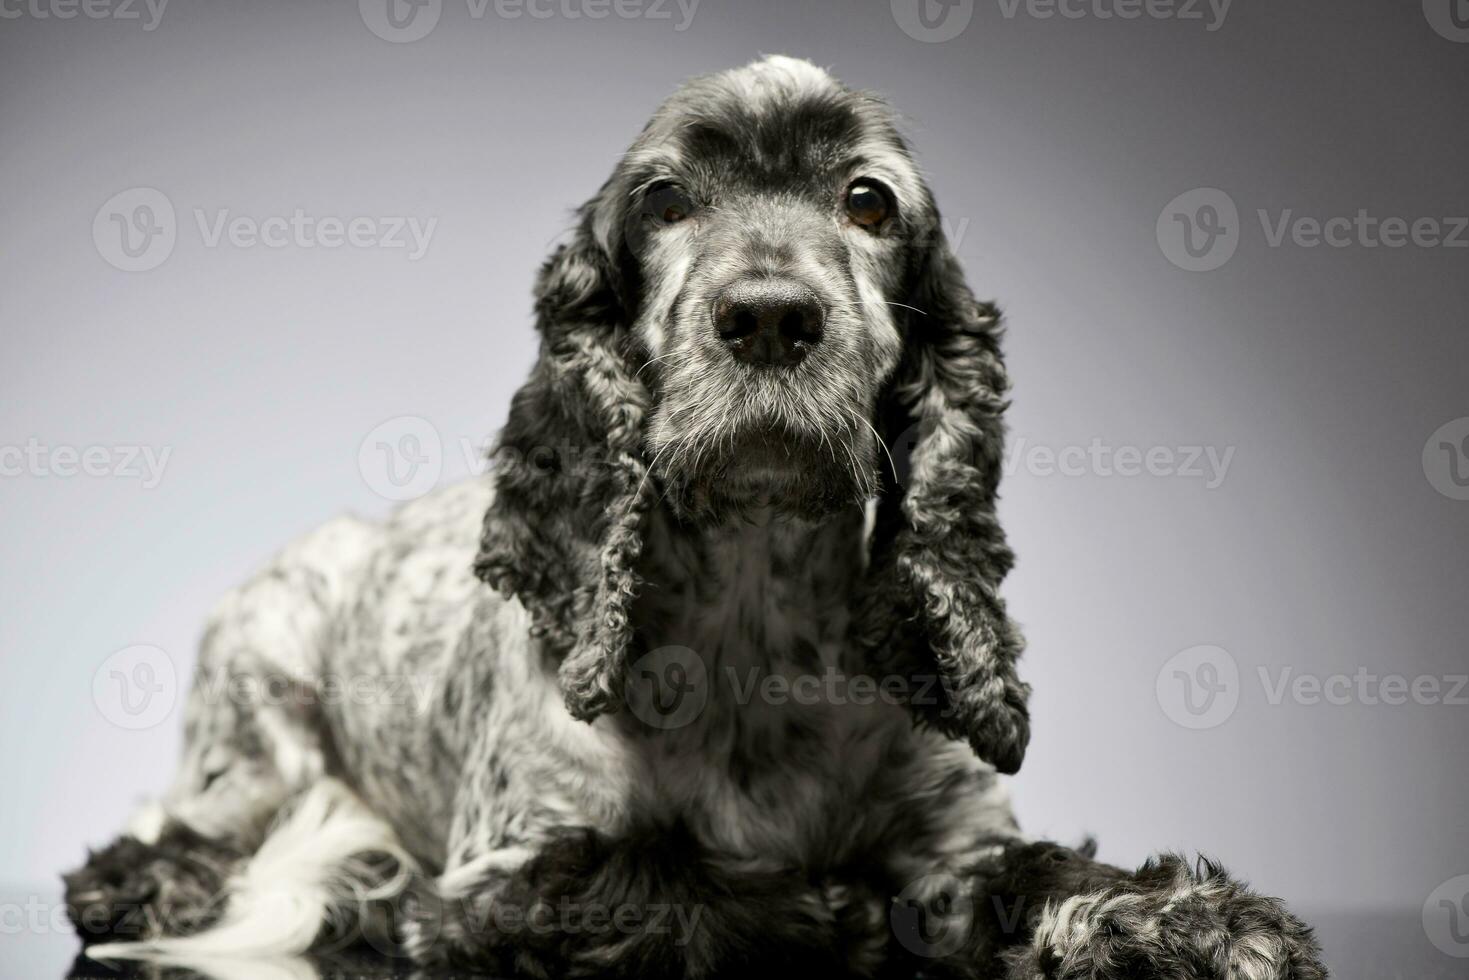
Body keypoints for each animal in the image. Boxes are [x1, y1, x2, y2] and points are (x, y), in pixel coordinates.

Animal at [66, 55, 1333, 980]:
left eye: (865, 200)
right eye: (665, 199)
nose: (769, 315)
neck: (754, 611)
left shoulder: (954, 835)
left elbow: (1030, 870)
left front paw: (1193, 918)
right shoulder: (495, 879)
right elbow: (672, 876)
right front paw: (829, 908)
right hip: (261, 697)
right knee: (189, 823)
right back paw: (147, 878)